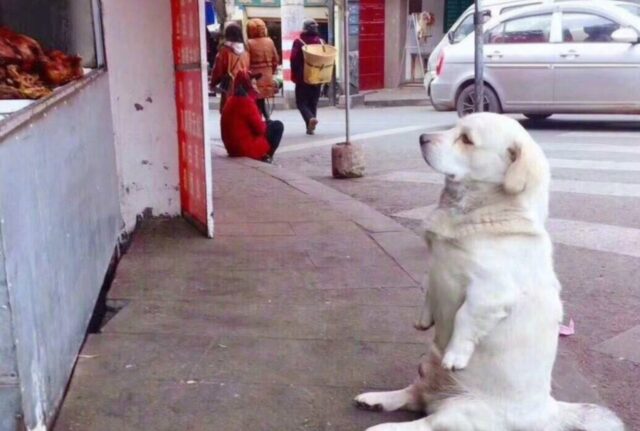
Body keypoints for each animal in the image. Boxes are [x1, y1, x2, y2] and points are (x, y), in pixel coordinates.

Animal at [356, 113, 624, 430]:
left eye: (466, 139)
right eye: (454, 127)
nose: (422, 137)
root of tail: (548, 410)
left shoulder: (491, 292)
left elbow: (465, 318)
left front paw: (456, 354)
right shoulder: (434, 268)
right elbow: (428, 289)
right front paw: (423, 319)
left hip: (458, 412)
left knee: (424, 422)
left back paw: (385, 426)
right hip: (426, 366)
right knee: (413, 395)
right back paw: (375, 399)